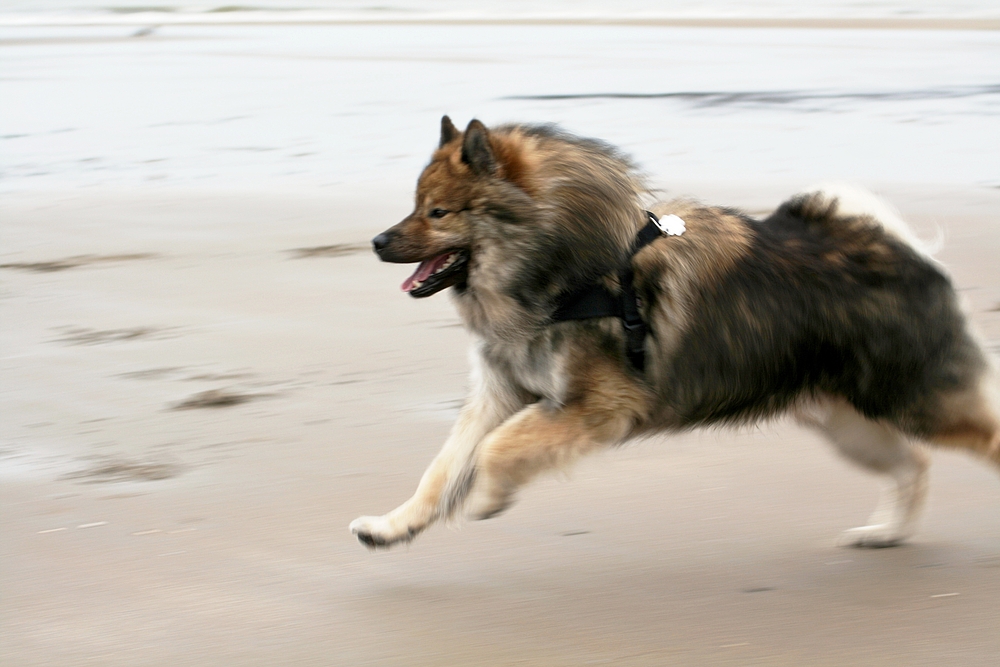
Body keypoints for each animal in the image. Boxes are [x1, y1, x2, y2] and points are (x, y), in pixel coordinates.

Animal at [348, 117, 996, 552]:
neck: (561, 268)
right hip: (847, 422)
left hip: (915, 401)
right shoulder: (500, 395)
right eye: (415, 205)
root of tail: (900, 249)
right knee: (915, 465)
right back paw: (886, 532)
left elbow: (493, 451)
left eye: (438, 213)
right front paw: (390, 526)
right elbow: (442, 470)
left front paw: (488, 496)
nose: (377, 242)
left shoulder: (596, 406)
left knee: (971, 440)